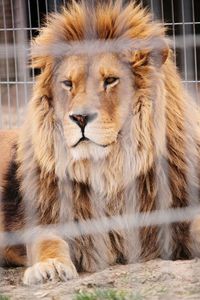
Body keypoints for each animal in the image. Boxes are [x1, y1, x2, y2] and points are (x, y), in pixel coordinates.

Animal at [1, 0, 200, 284]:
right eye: (68, 84)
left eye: (110, 80)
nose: (80, 117)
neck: (108, 171)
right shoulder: (48, 219)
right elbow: (47, 242)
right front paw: (50, 267)